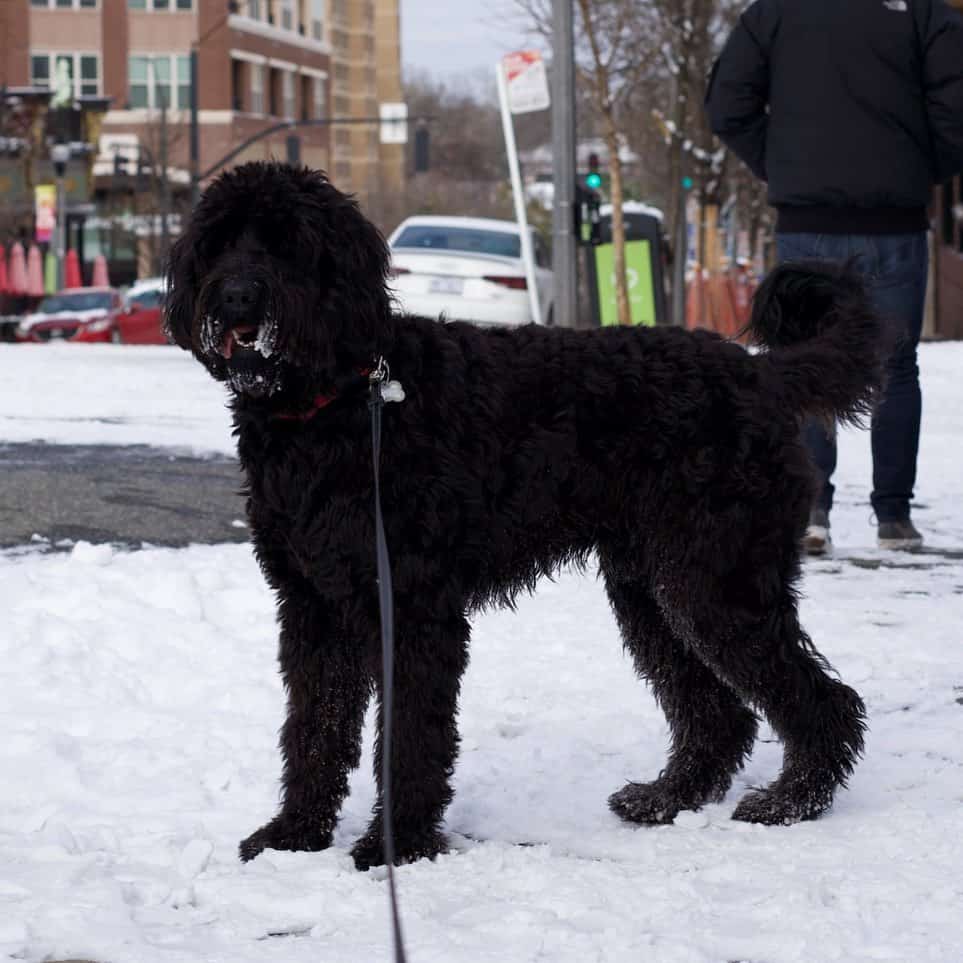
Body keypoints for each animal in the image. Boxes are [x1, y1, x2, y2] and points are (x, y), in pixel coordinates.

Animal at [164, 162, 880, 868]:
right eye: (220, 242)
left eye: (287, 242)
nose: (236, 297)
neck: (342, 403)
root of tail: (762, 376)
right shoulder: (312, 607)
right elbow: (314, 728)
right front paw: (295, 835)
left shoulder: (413, 611)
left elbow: (409, 737)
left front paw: (397, 848)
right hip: (654, 592)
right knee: (719, 714)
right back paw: (667, 798)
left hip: (716, 585)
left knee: (826, 701)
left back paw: (791, 800)